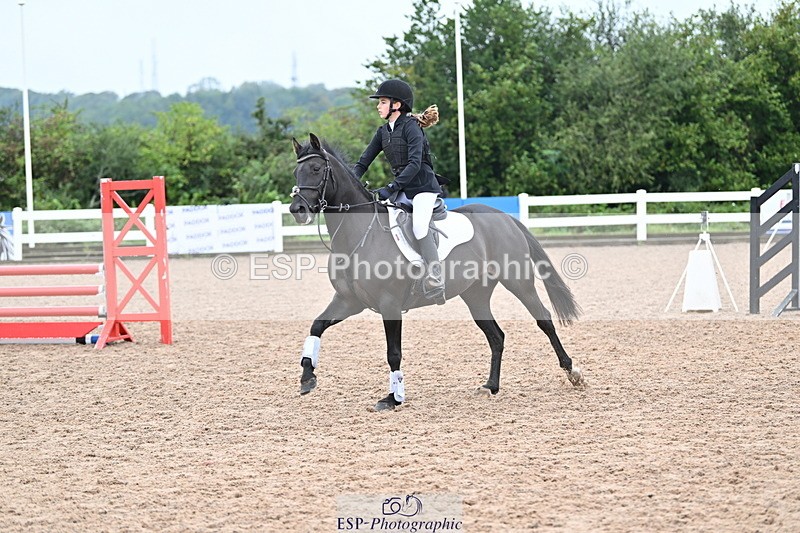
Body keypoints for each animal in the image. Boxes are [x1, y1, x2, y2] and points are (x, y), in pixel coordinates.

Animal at [289, 133, 585, 411]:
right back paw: (490, 386)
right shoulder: (349, 301)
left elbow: (393, 352)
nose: (297, 209)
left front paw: (393, 398)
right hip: (475, 295)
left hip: (518, 282)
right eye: (296, 172)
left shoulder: (389, 304)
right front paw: (307, 377)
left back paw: (573, 372)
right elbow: (317, 325)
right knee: (496, 336)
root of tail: (505, 218)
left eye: (316, 169)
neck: (361, 235)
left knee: (543, 319)